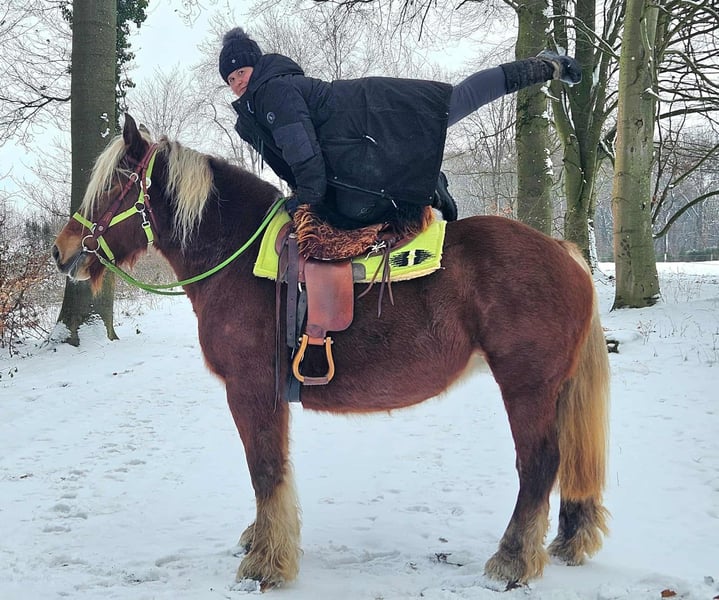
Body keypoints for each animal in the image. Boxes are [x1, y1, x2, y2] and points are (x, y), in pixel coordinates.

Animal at [53, 114, 610, 590]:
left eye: (115, 185)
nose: (63, 251)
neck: (236, 256)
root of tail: (563, 251)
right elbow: (272, 469)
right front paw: (263, 542)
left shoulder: (250, 390)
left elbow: (265, 469)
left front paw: (266, 564)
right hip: (553, 389)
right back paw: (567, 541)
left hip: (526, 386)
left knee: (539, 464)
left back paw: (512, 560)